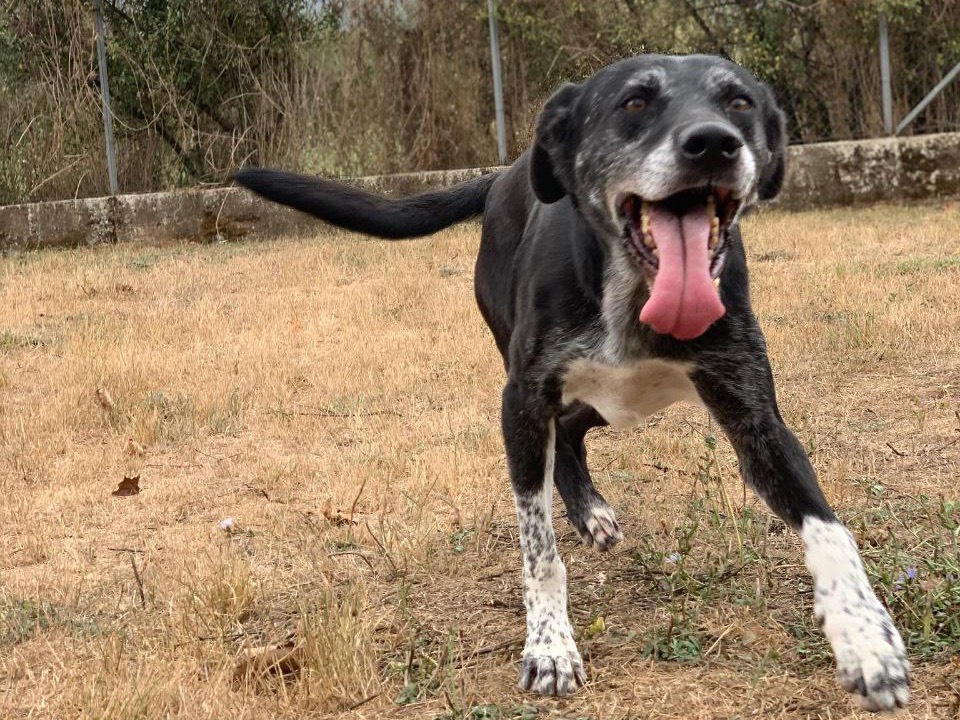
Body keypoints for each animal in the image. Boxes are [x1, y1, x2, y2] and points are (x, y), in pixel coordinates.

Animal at [236, 54, 912, 708]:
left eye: (739, 101)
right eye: (634, 102)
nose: (714, 144)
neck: (633, 295)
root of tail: (504, 173)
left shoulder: (755, 419)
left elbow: (830, 530)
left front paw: (867, 640)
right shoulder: (522, 401)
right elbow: (539, 551)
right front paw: (550, 648)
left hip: (616, 397)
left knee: (573, 435)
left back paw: (591, 510)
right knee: (560, 440)